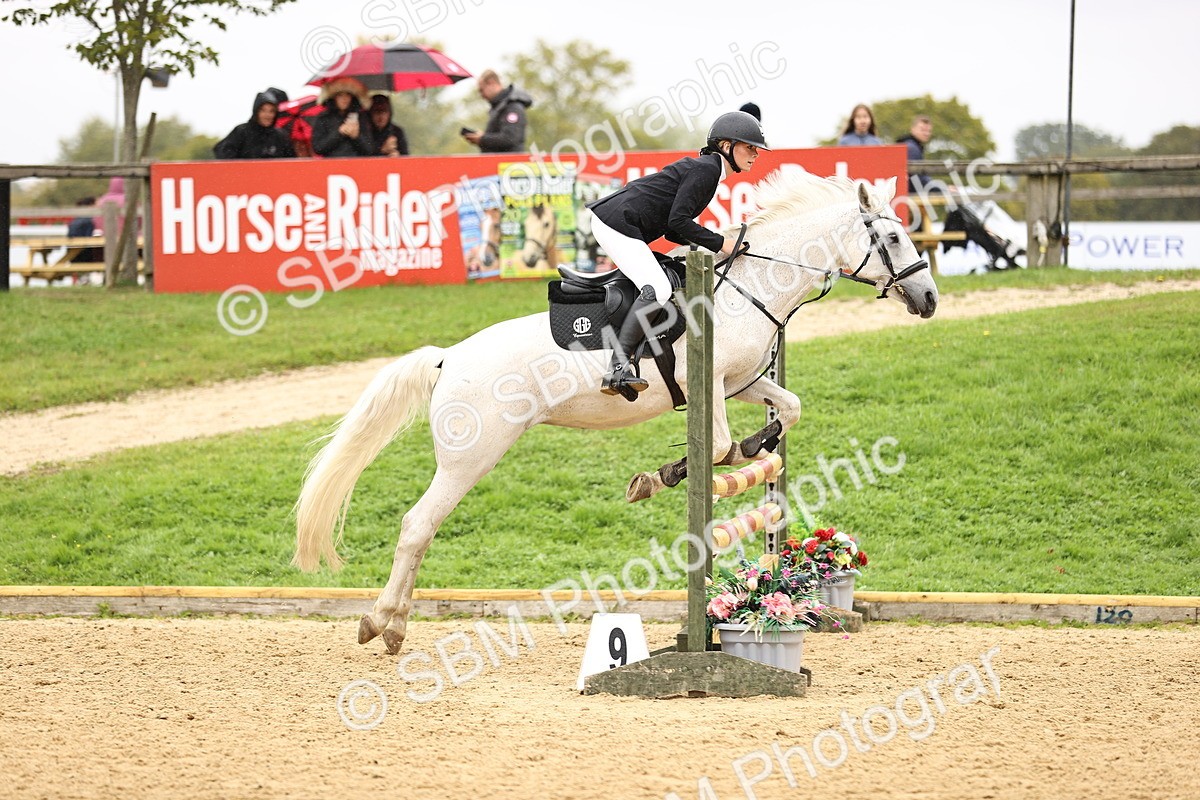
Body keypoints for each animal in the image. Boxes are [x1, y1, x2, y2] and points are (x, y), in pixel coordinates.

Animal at [294, 169, 939, 654]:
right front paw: (667, 474)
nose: (930, 299)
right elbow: (719, 448)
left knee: (421, 530)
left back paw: (392, 624)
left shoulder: (743, 383)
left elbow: (787, 413)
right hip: (469, 458)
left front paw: (743, 449)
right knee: (416, 527)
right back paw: (383, 623)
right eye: (896, 240)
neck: (754, 283)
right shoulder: (710, 386)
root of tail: (448, 358)